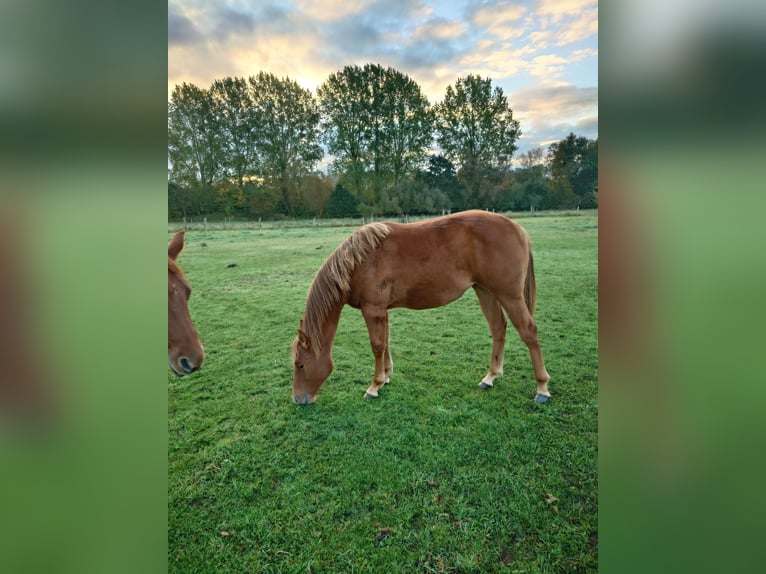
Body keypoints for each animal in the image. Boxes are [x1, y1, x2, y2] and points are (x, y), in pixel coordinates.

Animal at [291, 210, 550, 405]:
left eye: (300, 364)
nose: (297, 399)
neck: (358, 262)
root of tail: (517, 229)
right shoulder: (382, 311)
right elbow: (385, 342)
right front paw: (386, 377)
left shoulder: (373, 309)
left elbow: (377, 346)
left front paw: (374, 386)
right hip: (485, 291)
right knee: (498, 328)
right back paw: (490, 377)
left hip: (510, 296)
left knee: (529, 332)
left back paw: (542, 388)